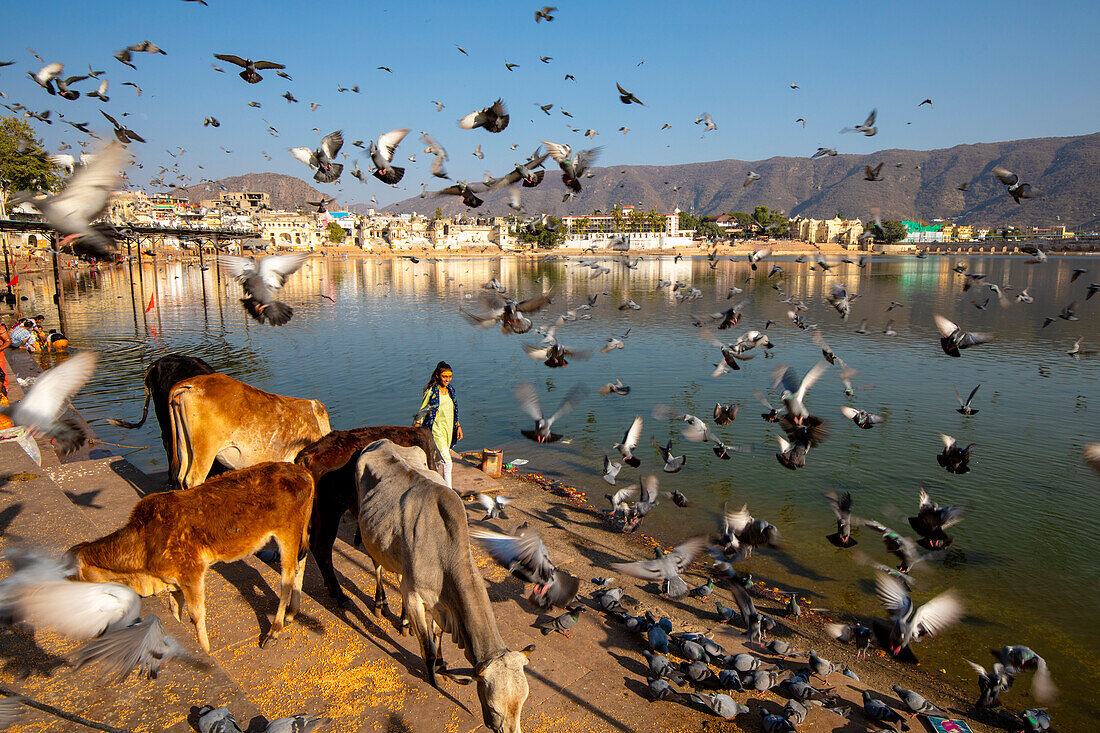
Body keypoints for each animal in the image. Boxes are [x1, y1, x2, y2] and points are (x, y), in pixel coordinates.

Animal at [71, 462, 314, 651]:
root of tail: (301, 471)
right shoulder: (173, 581)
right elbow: (174, 610)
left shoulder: (192, 573)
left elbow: (197, 615)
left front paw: (204, 650)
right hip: (299, 534)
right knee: (300, 566)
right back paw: (292, 612)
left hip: (287, 533)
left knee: (287, 578)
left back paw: (274, 632)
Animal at [299, 422, 444, 603]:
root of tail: (309, 454)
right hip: (330, 512)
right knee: (322, 547)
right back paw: (340, 595)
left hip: (319, 513)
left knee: (315, 545)